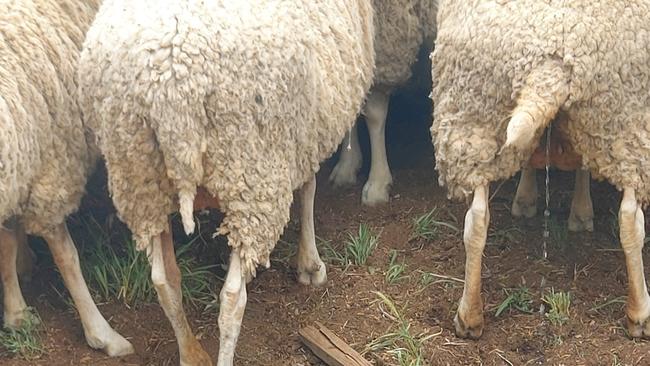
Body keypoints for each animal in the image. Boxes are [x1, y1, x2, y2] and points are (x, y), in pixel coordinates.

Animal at [0, 0, 134, 356]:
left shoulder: (25, 162)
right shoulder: (54, 160)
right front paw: (100, 333)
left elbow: (9, 240)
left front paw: (16, 303)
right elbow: (67, 256)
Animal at [79, 1, 374, 364]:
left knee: (164, 281)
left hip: (140, 180)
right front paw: (310, 264)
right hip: (251, 174)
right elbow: (309, 189)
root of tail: (169, 89)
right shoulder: (305, 133)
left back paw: (192, 353)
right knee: (232, 297)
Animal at [430, 1, 648, 340]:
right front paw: (580, 211)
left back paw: (469, 318)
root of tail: (551, 55)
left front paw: (531, 198)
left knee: (476, 220)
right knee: (629, 219)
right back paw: (640, 314)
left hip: (473, 121)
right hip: (628, 121)